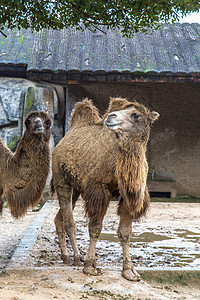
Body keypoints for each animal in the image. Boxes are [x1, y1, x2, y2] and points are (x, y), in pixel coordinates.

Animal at [52, 98, 159, 282]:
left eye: (136, 114)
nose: (111, 117)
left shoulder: (130, 194)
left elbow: (125, 232)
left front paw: (129, 271)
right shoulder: (98, 189)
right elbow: (95, 228)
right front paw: (90, 266)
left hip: (77, 187)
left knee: (60, 218)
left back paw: (67, 256)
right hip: (61, 179)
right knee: (69, 221)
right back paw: (75, 258)